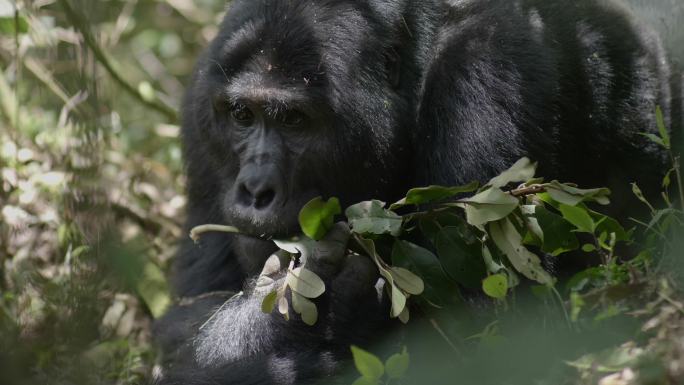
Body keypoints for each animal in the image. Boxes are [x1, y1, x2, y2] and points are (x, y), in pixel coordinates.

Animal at [155, 0, 680, 382]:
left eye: (294, 120)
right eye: (242, 115)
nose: (254, 190)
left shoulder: (487, 70)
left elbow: (496, 338)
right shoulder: (203, 96)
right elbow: (185, 316)